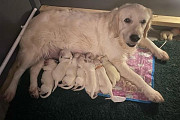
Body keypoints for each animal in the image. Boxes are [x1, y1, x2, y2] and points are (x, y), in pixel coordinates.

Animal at [0, 3, 169, 102]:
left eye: (143, 22)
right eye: (127, 20)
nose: (135, 37)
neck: (119, 36)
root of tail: (30, 21)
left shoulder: (139, 38)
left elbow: (148, 41)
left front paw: (160, 52)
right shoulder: (118, 61)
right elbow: (138, 78)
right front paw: (152, 93)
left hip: (43, 54)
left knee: (33, 70)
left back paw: (34, 89)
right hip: (32, 53)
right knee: (19, 71)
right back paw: (10, 91)